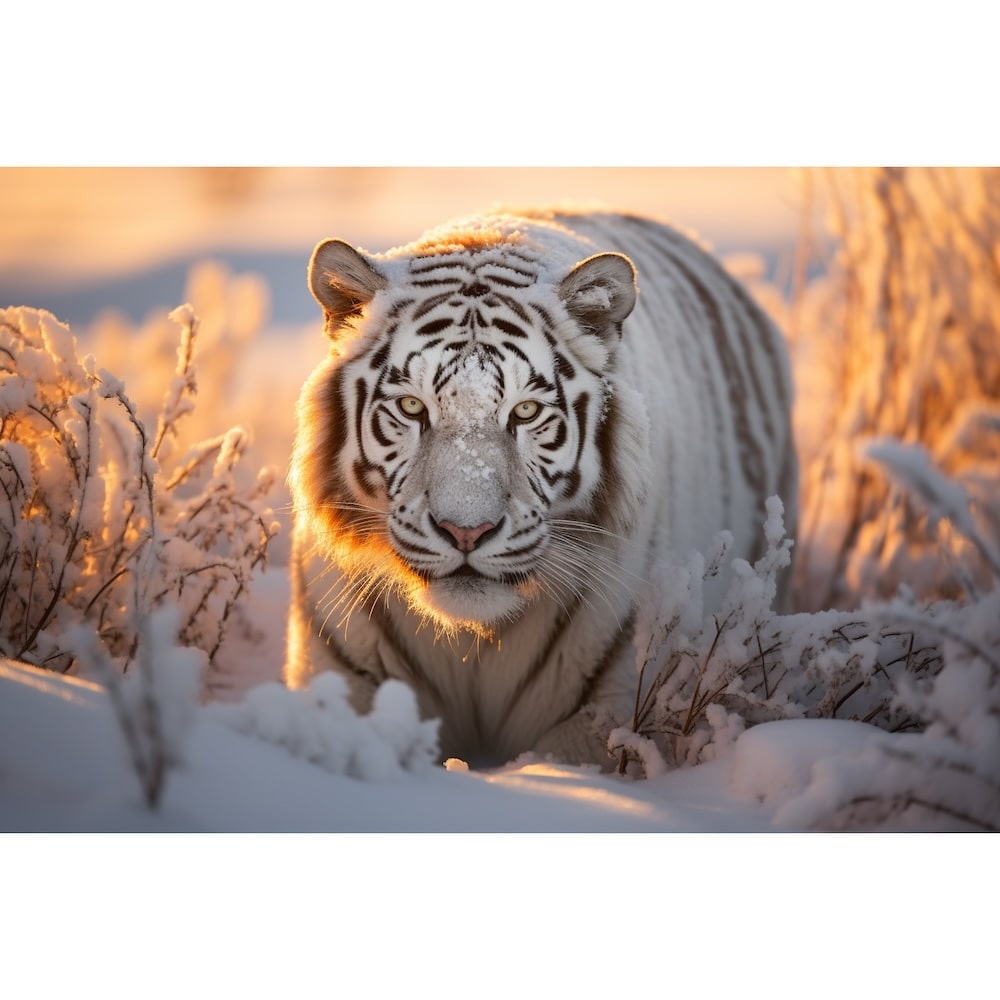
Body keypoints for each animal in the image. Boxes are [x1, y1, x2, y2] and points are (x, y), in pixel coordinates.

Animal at [285, 209, 797, 768]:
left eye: (526, 411)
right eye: (412, 407)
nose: (467, 532)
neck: (474, 643)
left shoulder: (612, 706)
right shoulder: (344, 676)